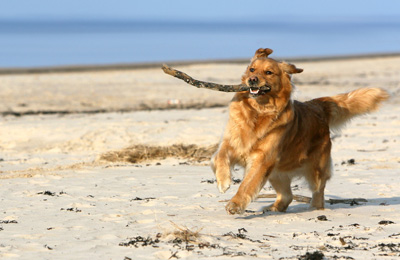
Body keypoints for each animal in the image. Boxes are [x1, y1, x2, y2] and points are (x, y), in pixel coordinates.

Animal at [211, 48, 390, 215]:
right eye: (252, 69)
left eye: (268, 72)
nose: (252, 79)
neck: (259, 111)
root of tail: (316, 105)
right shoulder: (231, 143)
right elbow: (220, 156)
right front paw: (223, 181)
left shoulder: (263, 159)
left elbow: (247, 185)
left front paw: (235, 204)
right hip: (277, 172)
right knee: (288, 195)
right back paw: (274, 208)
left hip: (315, 168)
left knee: (319, 189)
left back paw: (315, 207)